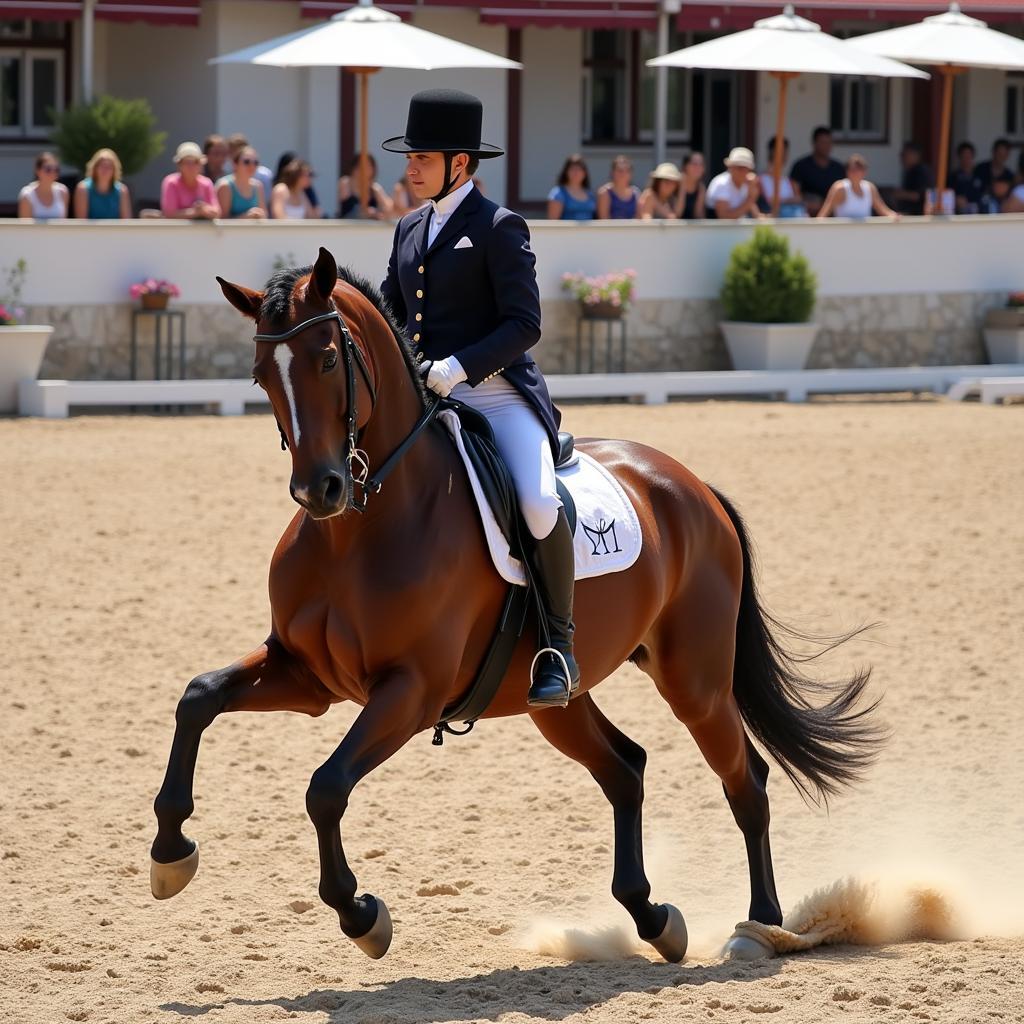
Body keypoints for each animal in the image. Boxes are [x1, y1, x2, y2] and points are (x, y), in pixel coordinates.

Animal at [149, 245, 880, 958]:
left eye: (328, 358)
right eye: (260, 375)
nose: (319, 490)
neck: (358, 531)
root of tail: (692, 485)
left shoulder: (411, 691)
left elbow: (325, 789)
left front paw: (362, 915)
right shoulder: (307, 676)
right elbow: (198, 697)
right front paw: (169, 855)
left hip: (694, 680)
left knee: (745, 780)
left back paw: (760, 929)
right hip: (558, 702)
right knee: (626, 768)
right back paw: (654, 919)